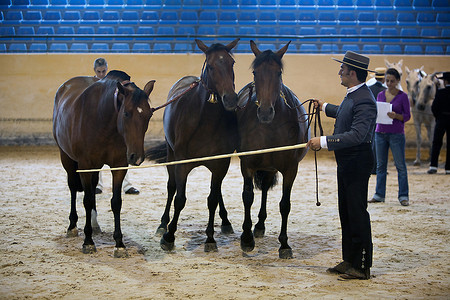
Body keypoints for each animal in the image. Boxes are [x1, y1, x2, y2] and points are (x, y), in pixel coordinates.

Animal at [52, 71, 155, 258]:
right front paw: (88, 242)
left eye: (149, 115)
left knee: (92, 188)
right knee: (73, 189)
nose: (136, 157)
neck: (104, 121)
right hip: (67, 159)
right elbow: (86, 200)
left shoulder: (119, 166)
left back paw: (94, 225)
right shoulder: (85, 166)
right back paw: (72, 226)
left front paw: (119, 244)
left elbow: (116, 202)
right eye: (126, 113)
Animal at [147, 38, 239, 252]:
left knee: (217, 192)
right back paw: (163, 225)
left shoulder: (221, 164)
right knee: (171, 187)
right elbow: (179, 198)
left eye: (231, 63)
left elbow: (212, 199)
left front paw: (210, 239)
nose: (231, 99)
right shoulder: (182, 162)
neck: (206, 120)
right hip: (171, 154)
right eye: (211, 66)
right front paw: (169, 236)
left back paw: (225, 222)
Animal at [236, 41, 310, 258]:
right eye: (255, 72)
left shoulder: (290, 169)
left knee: (266, 190)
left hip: (270, 168)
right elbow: (247, 197)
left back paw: (260, 225)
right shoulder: (247, 165)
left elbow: (285, 204)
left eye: (278, 73)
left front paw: (284, 244)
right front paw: (246, 239)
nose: (265, 112)